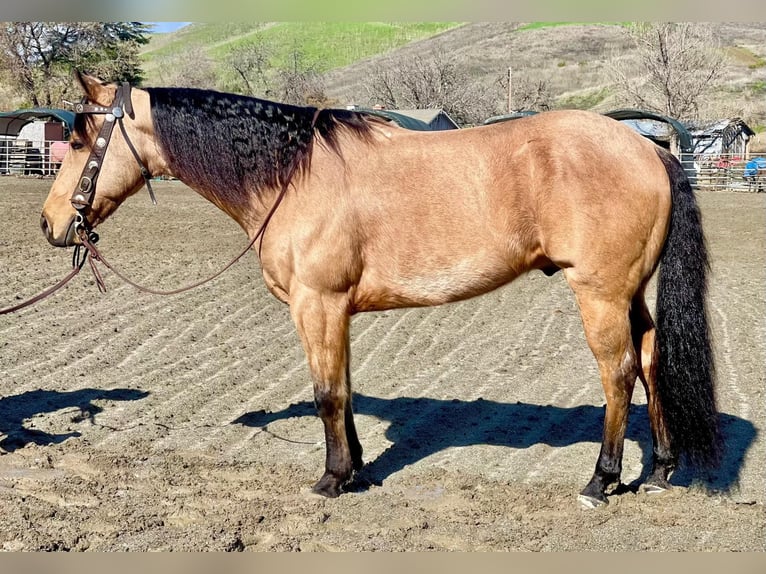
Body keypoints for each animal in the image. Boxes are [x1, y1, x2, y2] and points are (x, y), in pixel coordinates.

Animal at [39, 72, 724, 508]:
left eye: (77, 138)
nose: (50, 223)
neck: (294, 176)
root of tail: (649, 147)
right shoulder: (335, 311)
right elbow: (342, 389)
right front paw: (358, 471)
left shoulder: (317, 304)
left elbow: (326, 395)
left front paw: (331, 479)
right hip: (629, 294)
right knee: (652, 359)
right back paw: (659, 469)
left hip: (600, 294)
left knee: (619, 372)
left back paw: (601, 481)